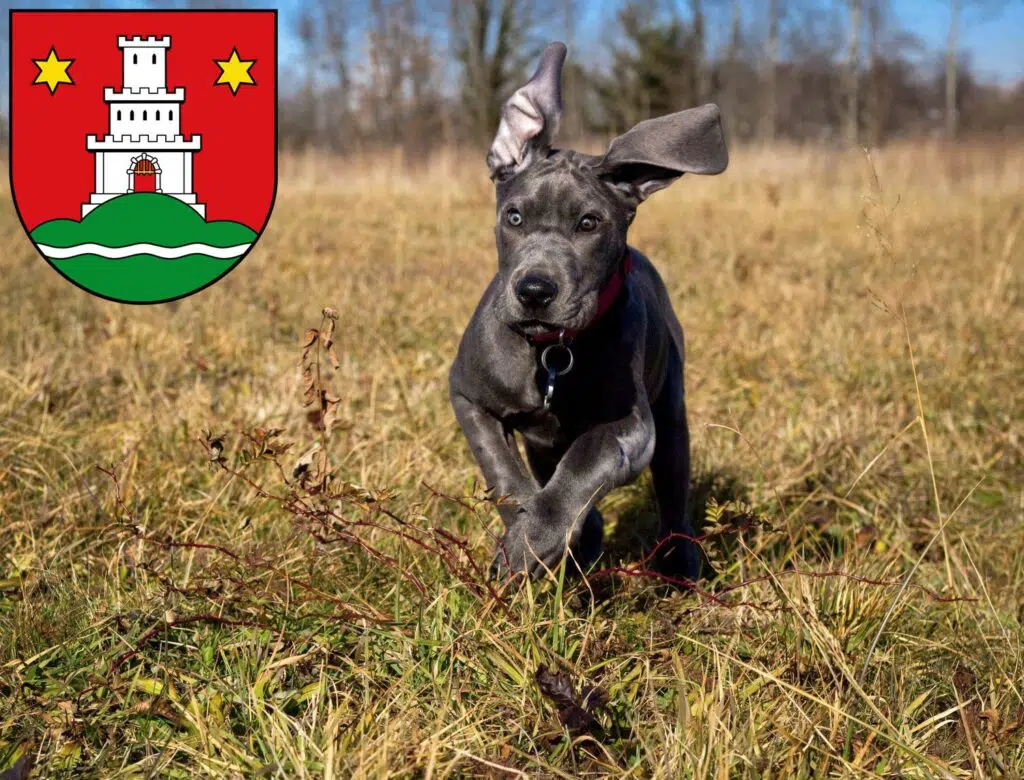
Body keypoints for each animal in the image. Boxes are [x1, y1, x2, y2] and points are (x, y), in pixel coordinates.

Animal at [448, 40, 729, 577]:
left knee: (673, 499)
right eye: (514, 217)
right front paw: (531, 535)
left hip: (671, 415)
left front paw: (532, 539)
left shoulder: (632, 427)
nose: (535, 290)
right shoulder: (468, 397)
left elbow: (584, 463)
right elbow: (503, 472)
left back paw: (679, 565)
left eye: (589, 223)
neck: (550, 352)